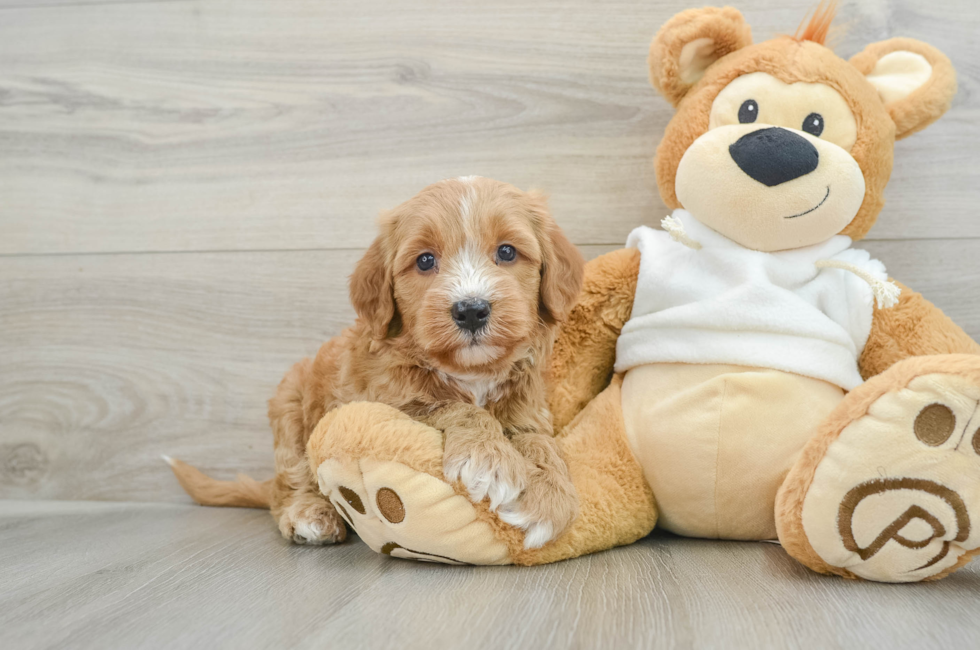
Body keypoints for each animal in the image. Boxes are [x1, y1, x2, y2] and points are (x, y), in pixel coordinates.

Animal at [169, 176, 584, 548]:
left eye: (508, 252)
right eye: (425, 260)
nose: (471, 310)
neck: (470, 372)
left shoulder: (528, 410)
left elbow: (541, 443)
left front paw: (548, 502)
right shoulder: (385, 402)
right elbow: (453, 407)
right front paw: (488, 459)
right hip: (290, 409)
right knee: (289, 480)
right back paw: (309, 514)